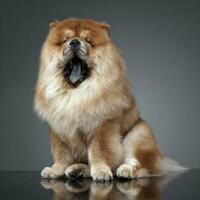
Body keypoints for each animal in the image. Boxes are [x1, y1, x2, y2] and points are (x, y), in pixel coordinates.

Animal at [34, 18, 184, 181]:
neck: (76, 93)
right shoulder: (59, 128)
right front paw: (55, 170)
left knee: (141, 165)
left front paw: (101, 171)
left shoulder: (102, 125)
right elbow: (61, 153)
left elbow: (99, 151)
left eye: (88, 40)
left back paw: (125, 170)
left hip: (138, 134)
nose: (74, 42)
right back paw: (76, 169)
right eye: (65, 39)